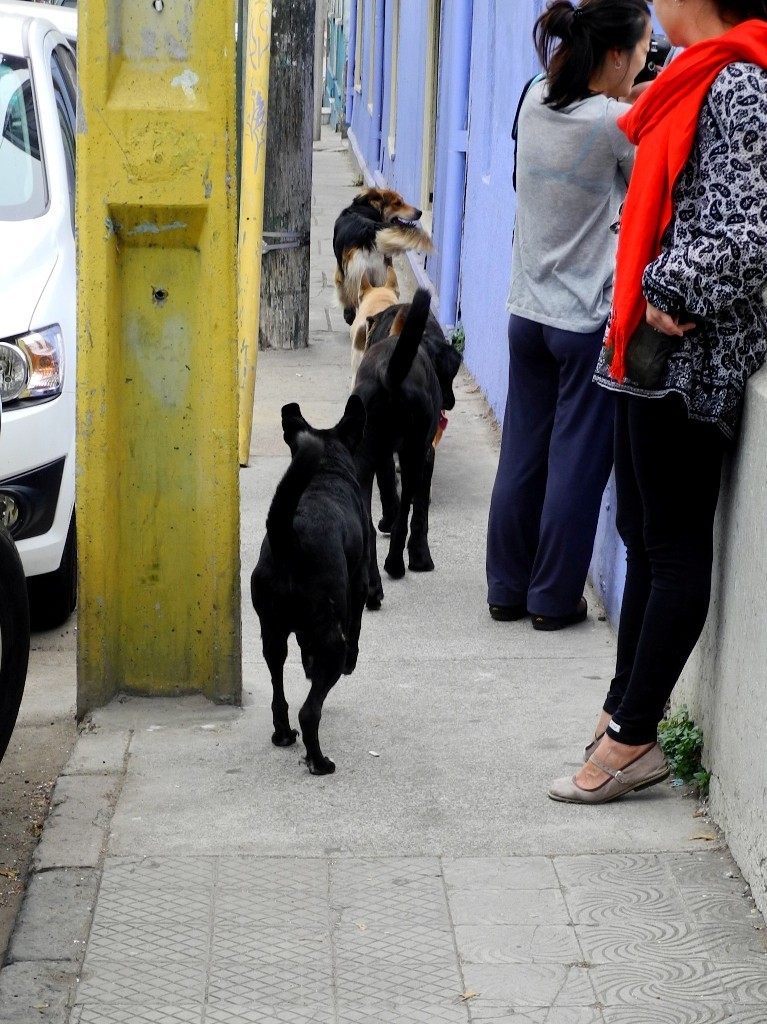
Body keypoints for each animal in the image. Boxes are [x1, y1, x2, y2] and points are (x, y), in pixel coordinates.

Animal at [250, 395, 368, 770]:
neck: (326, 471)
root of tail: (290, 540)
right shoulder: (360, 583)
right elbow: (357, 626)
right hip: (333, 639)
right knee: (309, 711)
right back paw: (320, 762)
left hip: (272, 634)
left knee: (279, 694)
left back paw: (283, 734)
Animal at [331, 187, 434, 323]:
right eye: (398, 203)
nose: (420, 212)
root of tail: (369, 229)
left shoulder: (341, 272)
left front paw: (348, 315)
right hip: (382, 274)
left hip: (359, 275)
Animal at [352, 288, 440, 606]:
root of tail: (386, 372)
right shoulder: (426, 454)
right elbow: (420, 509)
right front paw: (420, 556)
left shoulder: (382, 458)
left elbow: (389, 487)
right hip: (413, 455)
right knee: (405, 514)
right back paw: (395, 565)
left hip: (361, 461)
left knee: (366, 525)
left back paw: (372, 588)